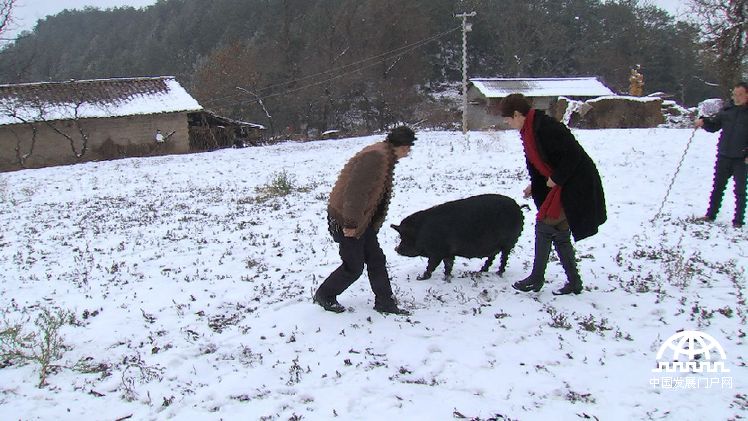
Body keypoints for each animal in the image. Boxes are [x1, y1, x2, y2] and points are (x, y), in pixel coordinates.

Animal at [391, 194, 525, 280]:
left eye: (405, 236)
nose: (396, 249)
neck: (421, 232)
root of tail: (518, 207)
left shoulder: (438, 252)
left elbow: (431, 265)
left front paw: (420, 278)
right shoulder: (448, 253)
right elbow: (448, 265)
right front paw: (447, 278)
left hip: (509, 242)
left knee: (503, 258)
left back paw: (498, 273)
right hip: (497, 245)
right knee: (492, 256)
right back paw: (482, 270)